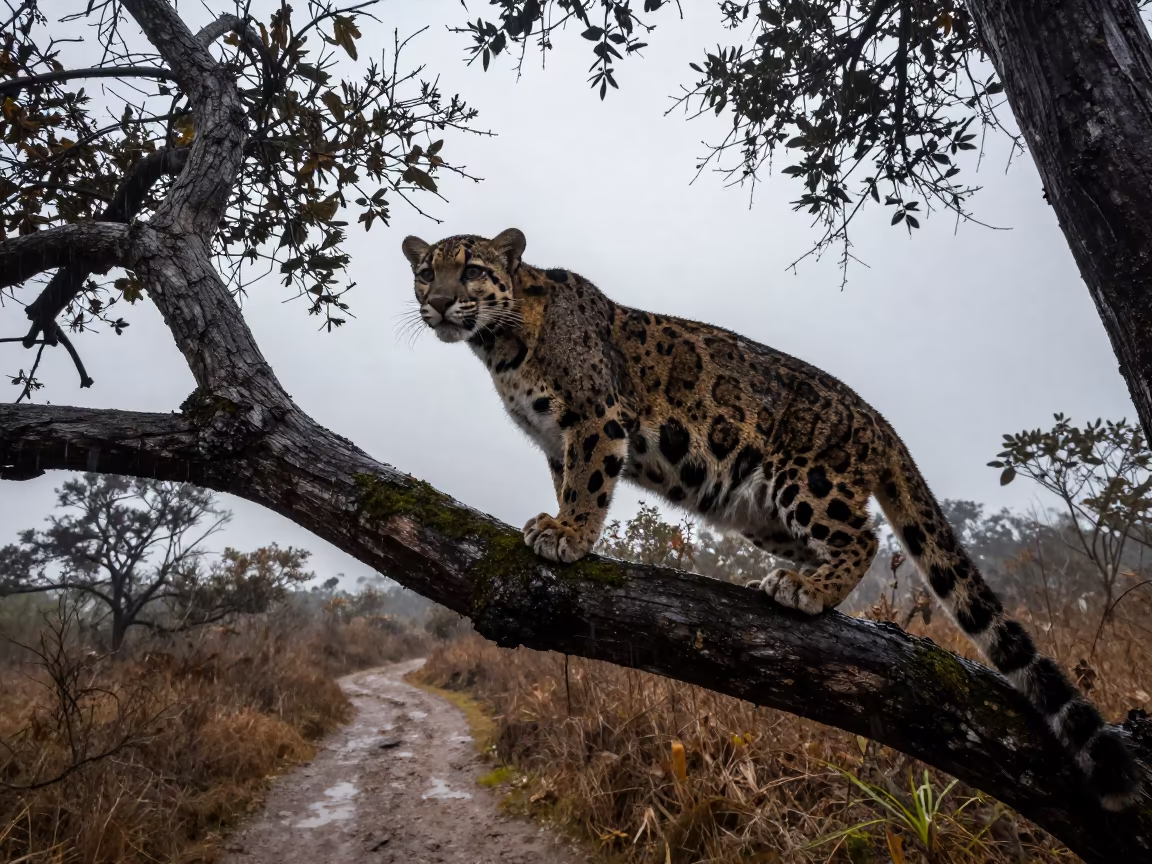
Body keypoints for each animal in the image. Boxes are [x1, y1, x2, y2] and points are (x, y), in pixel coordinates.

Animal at [400, 227, 1144, 810]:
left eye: (471, 268)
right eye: (424, 270)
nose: (436, 302)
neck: (499, 349)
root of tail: (879, 421)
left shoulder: (596, 420)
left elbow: (587, 488)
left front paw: (568, 537)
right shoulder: (557, 440)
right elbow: (567, 482)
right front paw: (557, 525)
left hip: (806, 481)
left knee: (863, 535)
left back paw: (809, 590)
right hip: (758, 509)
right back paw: (790, 578)